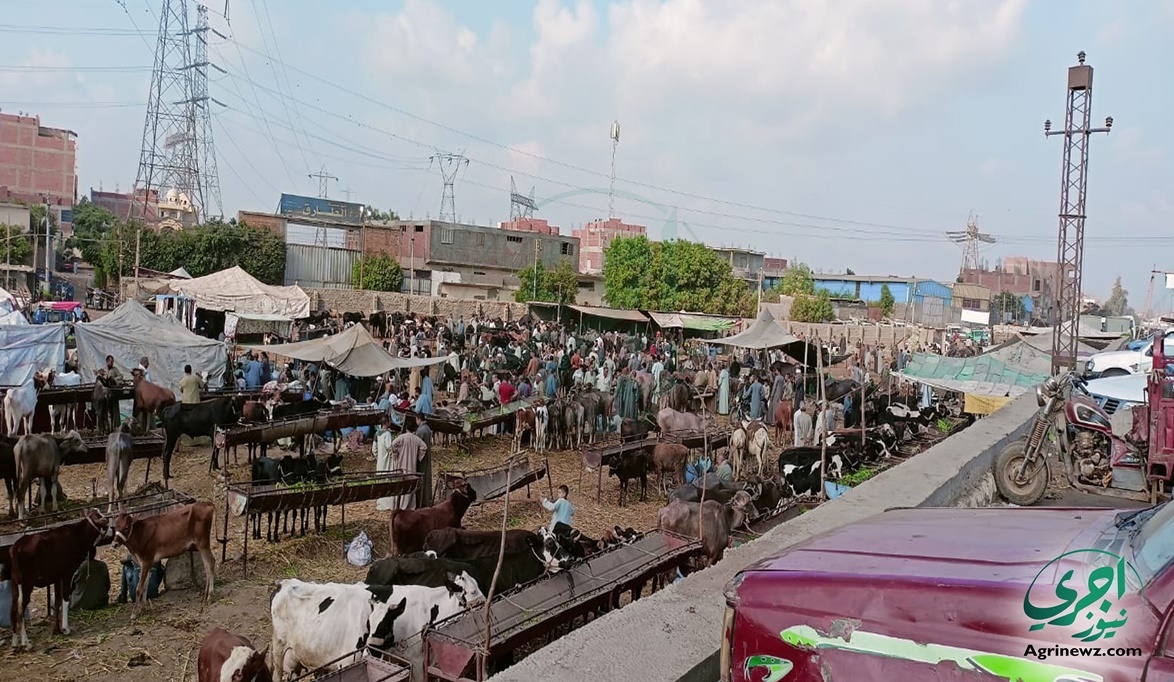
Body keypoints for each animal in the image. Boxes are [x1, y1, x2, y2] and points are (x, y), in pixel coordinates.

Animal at [9, 508, 110, 648]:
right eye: (101, 519)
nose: (111, 526)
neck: (78, 536)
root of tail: (17, 545)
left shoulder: (57, 577)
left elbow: (57, 602)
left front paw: (56, 629)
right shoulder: (67, 574)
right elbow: (65, 599)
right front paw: (66, 629)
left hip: (15, 582)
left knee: (13, 609)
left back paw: (14, 642)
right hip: (26, 583)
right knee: (20, 610)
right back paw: (26, 643)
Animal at [269, 580, 409, 679]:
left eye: (386, 625)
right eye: (369, 623)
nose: (370, 648)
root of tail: (283, 583)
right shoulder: (347, 661)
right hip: (278, 648)